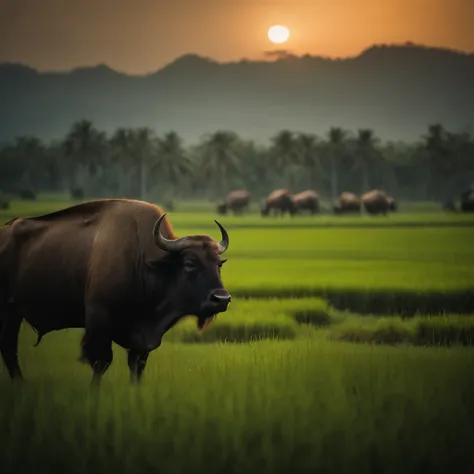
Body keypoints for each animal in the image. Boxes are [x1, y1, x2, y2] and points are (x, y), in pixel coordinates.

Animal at [0, 198, 232, 386]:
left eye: (219, 264)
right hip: (9, 312)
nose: (222, 298)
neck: (144, 260)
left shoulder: (142, 340)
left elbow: (137, 366)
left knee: (9, 348)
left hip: (14, 313)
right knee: (9, 347)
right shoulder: (98, 320)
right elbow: (100, 361)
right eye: (190, 263)